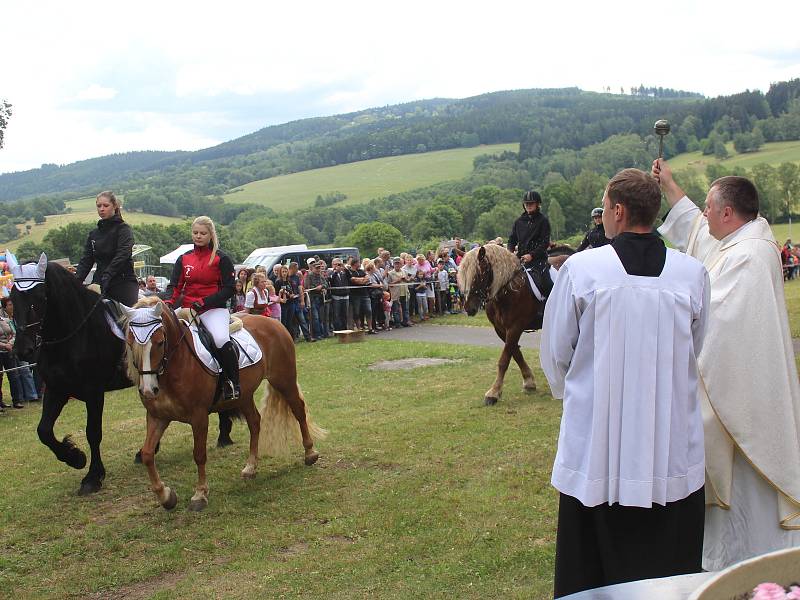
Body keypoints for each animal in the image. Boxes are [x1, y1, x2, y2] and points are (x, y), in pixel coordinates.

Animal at [10, 255, 234, 494]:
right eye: (12, 298)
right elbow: (43, 431)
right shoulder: (57, 389)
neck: (75, 333)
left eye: (39, 297)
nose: (23, 350)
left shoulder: (93, 392)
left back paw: (223, 435)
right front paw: (75, 458)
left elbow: (93, 432)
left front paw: (92, 476)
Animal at [125, 298, 324, 512]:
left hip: (284, 380)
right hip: (244, 395)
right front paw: (166, 496)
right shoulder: (157, 417)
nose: (148, 390)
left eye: (160, 342)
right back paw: (250, 467)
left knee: (298, 410)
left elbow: (199, 454)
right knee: (255, 422)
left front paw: (200, 494)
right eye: (130, 342)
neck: (176, 366)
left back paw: (310, 453)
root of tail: (273, 322)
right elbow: (147, 454)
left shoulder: (199, 417)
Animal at [456, 243, 568, 404]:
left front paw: (493, 392)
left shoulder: (515, 327)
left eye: (479, 274)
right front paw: (529, 381)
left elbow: (504, 359)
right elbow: (515, 353)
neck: (507, 291)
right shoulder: (501, 329)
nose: (469, 308)